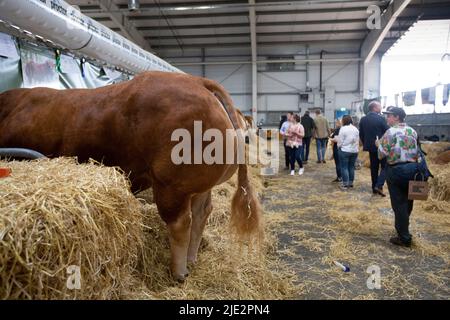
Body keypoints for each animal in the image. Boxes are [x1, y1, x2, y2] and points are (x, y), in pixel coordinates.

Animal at [0, 71, 262, 282]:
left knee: (181, 222)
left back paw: (177, 272)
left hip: (170, 184)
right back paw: (191, 260)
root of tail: (197, 81)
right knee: (201, 214)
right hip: (197, 186)